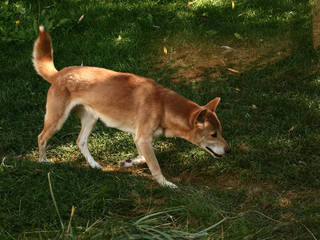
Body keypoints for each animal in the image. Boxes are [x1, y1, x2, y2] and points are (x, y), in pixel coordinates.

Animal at [32, 25, 230, 188]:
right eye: (213, 134)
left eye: (220, 131)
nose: (229, 150)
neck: (163, 106)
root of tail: (59, 74)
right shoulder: (142, 138)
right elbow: (155, 165)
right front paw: (166, 184)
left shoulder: (140, 137)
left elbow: (143, 157)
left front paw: (128, 162)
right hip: (57, 119)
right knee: (41, 137)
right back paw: (43, 161)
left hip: (91, 118)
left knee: (80, 141)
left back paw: (94, 164)